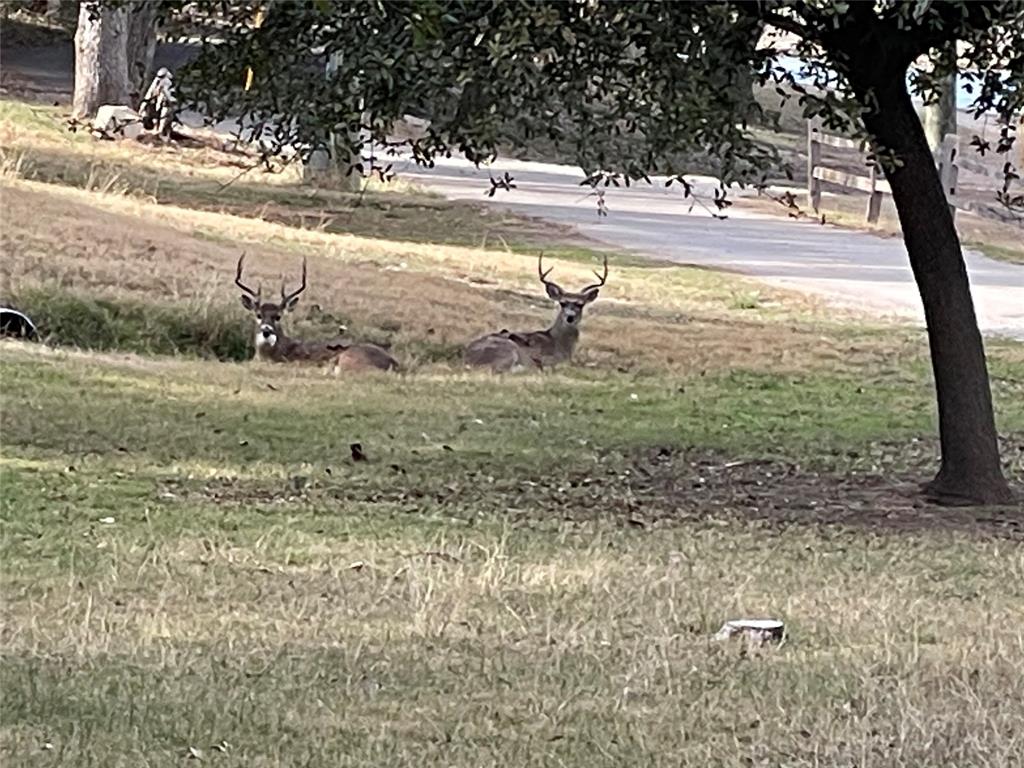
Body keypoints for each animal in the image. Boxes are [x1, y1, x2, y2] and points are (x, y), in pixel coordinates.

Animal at [464, 253, 608, 372]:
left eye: (580, 304)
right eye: (562, 303)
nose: (570, 317)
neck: (558, 343)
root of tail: (468, 358)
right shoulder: (546, 358)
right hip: (509, 349)